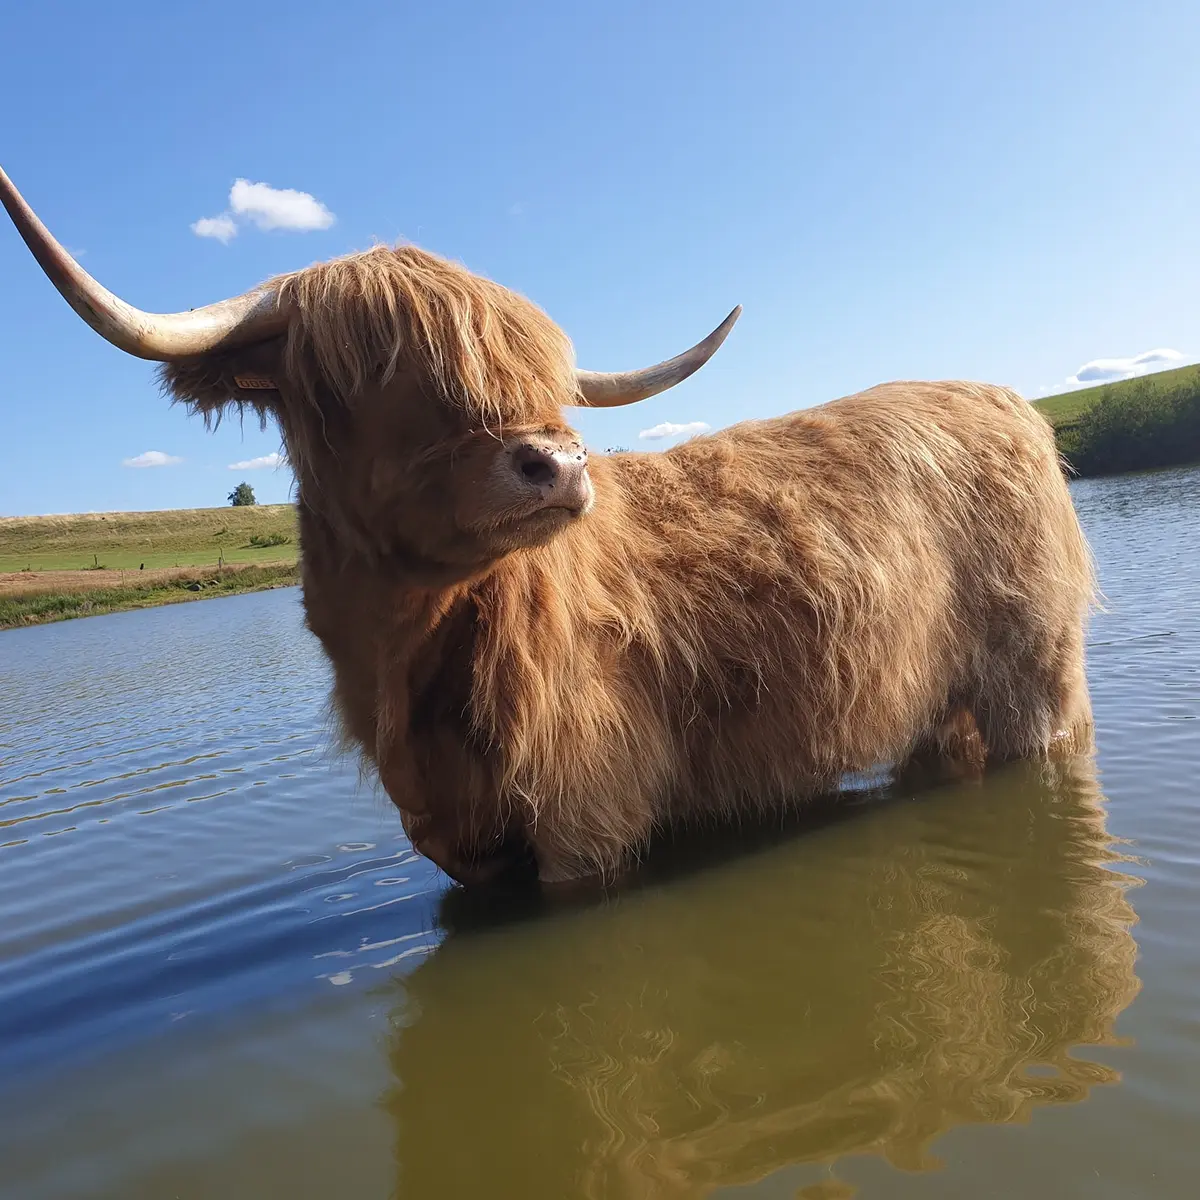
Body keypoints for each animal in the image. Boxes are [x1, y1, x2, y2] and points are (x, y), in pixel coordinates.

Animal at [1, 164, 1096, 889]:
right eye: (353, 376)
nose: (558, 464)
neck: (410, 670)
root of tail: (1004, 400)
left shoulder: (588, 819)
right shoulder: (458, 847)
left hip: (1033, 676)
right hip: (931, 701)